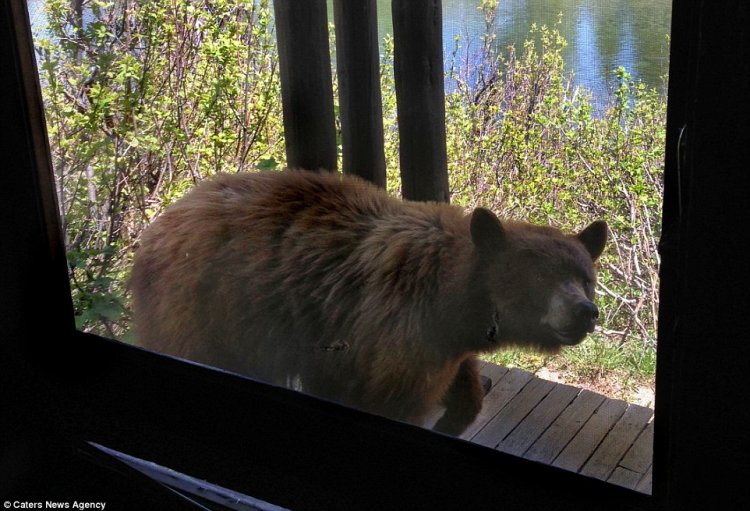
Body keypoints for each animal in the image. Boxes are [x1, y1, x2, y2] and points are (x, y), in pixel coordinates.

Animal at [132, 171, 608, 436]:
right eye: (543, 276)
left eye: (585, 278)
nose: (586, 311)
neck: (453, 298)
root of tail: (158, 225)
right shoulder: (398, 331)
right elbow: (390, 400)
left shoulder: (435, 343)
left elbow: (461, 380)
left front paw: (457, 412)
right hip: (203, 306)